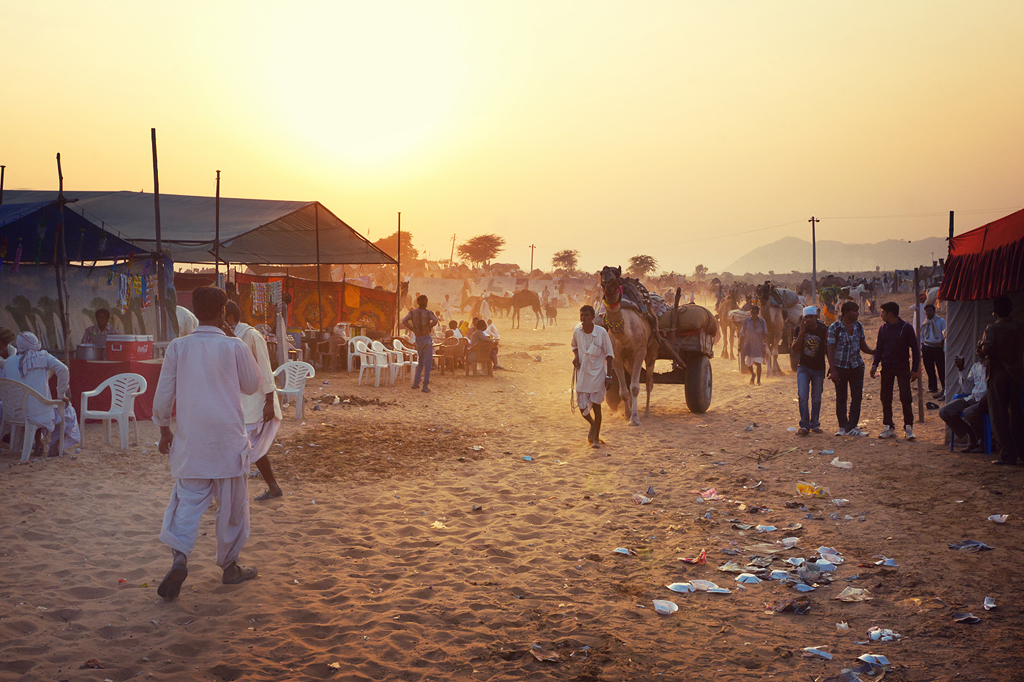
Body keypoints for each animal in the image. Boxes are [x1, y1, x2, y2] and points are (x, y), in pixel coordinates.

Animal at [598, 266, 659, 425]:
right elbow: (624, 390)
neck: (626, 333)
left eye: (615, 276)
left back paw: (647, 412)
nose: (606, 279)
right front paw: (627, 414)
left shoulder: (640, 352)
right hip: (628, 359)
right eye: (601, 274)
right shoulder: (617, 357)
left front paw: (635, 419)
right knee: (631, 377)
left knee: (649, 383)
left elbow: (636, 387)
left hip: (652, 351)